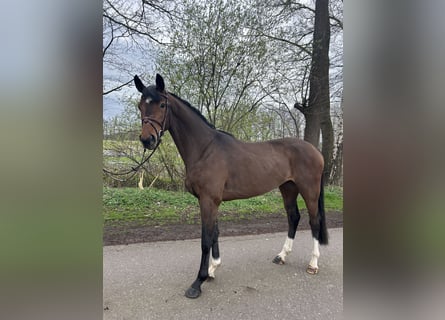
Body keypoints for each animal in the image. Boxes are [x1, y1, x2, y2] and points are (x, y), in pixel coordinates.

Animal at [132, 74, 326, 298]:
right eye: (140, 106)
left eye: (162, 105)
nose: (147, 139)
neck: (205, 150)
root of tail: (315, 150)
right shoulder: (210, 201)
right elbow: (215, 233)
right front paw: (212, 269)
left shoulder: (209, 200)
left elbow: (205, 239)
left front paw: (198, 283)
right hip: (288, 188)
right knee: (293, 217)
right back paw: (282, 256)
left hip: (309, 190)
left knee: (314, 221)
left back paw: (313, 264)